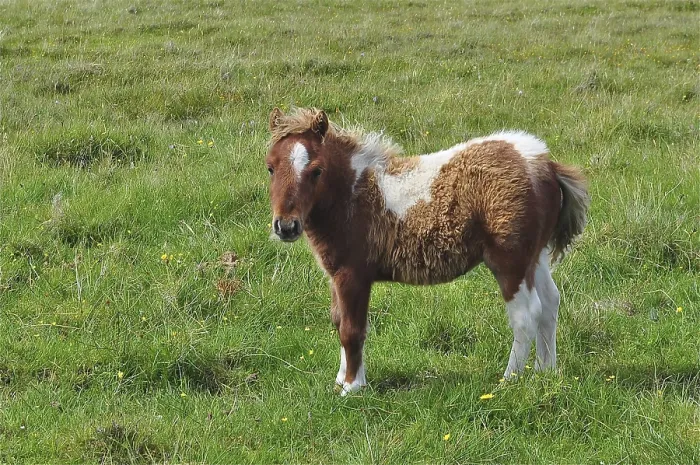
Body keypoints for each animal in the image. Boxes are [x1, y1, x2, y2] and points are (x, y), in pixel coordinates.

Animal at [265, 107, 589, 396]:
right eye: (270, 167)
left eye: (316, 170)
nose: (286, 226)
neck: (353, 195)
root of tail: (546, 166)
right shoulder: (336, 276)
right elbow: (338, 321)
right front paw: (341, 381)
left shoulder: (352, 275)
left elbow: (352, 330)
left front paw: (353, 388)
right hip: (537, 257)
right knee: (550, 303)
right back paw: (545, 373)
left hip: (511, 261)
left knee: (526, 314)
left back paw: (508, 381)